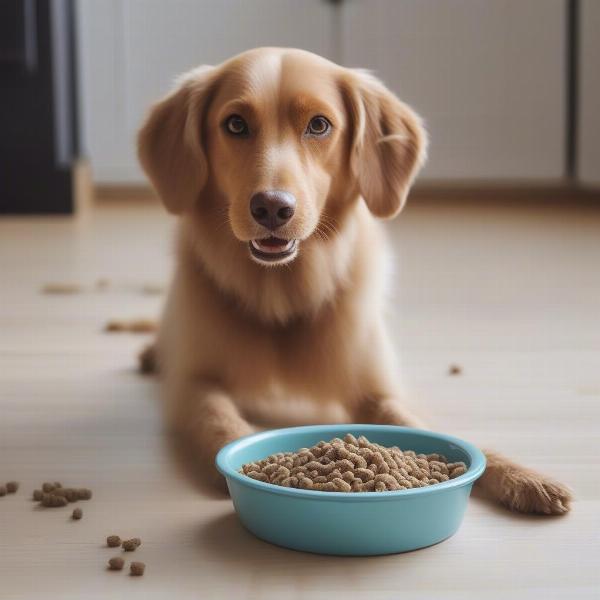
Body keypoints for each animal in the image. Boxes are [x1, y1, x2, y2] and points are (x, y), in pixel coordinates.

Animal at [137, 47, 572, 516]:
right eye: (235, 124)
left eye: (319, 125)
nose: (272, 208)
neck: (281, 295)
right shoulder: (194, 383)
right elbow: (223, 423)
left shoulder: (375, 390)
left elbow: (430, 430)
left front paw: (524, 477)